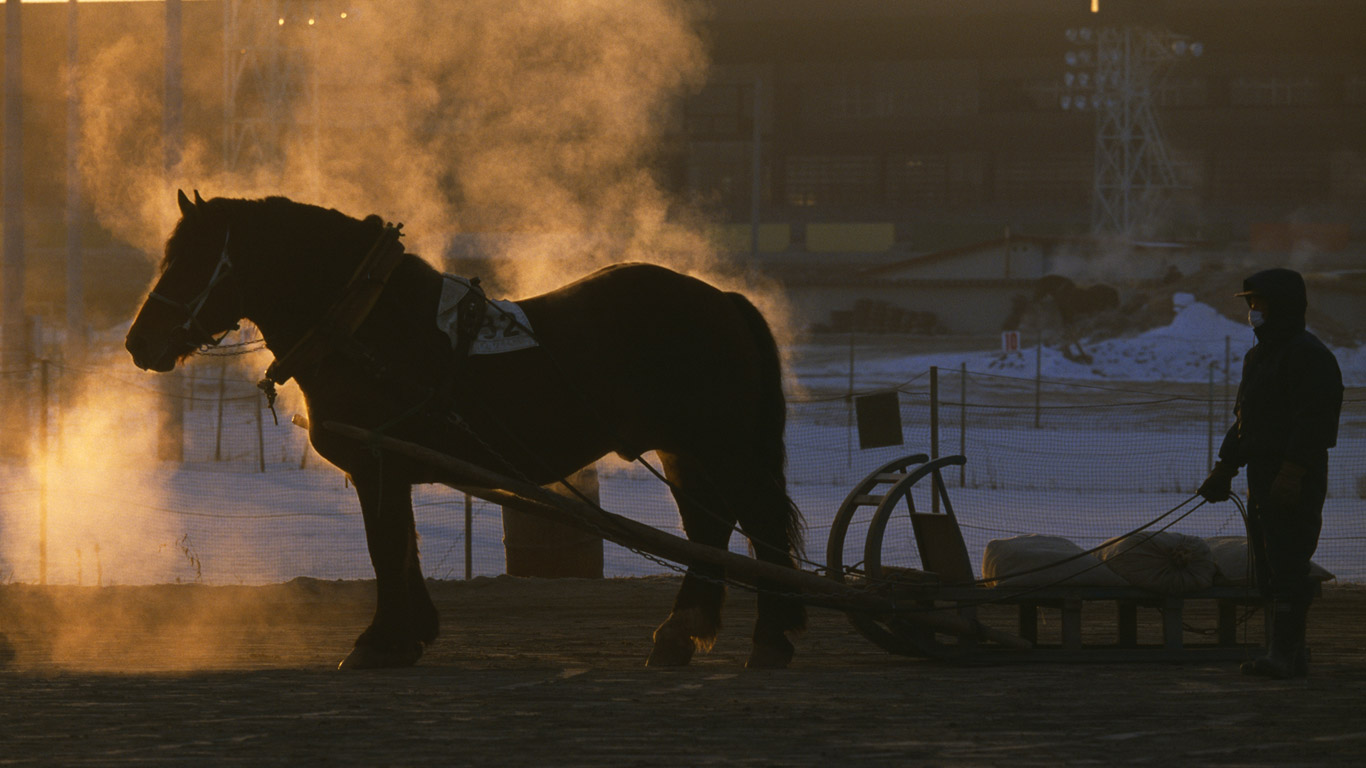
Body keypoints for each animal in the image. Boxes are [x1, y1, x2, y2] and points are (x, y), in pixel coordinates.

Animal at [125, 191, 806, 670]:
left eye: (193, 260)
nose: (139, 343)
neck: (367, 326)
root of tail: (720, 299)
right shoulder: (389, 466)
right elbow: (401, 547)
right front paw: (410, 634)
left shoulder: (377, 463)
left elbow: (385, 547)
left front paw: (381, 641)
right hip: (685, 450)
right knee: (709, 529)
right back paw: (681, 634)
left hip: (719, 446)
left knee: (756, 527)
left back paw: (768, 638)